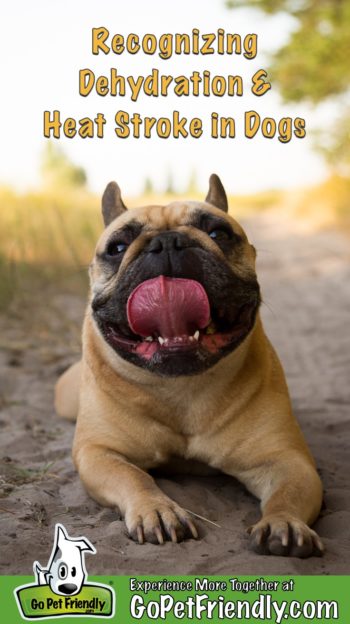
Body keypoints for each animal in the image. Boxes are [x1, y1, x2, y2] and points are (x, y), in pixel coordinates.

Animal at [55, 173, 322, 560]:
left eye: (218, 233)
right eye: (117, 247)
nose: (167, 242)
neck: (180, 385)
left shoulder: (287, 461)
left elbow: (287, 493)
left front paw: (284, 522)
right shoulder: (98, 453)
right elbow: (133, 477)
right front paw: (157, 510)